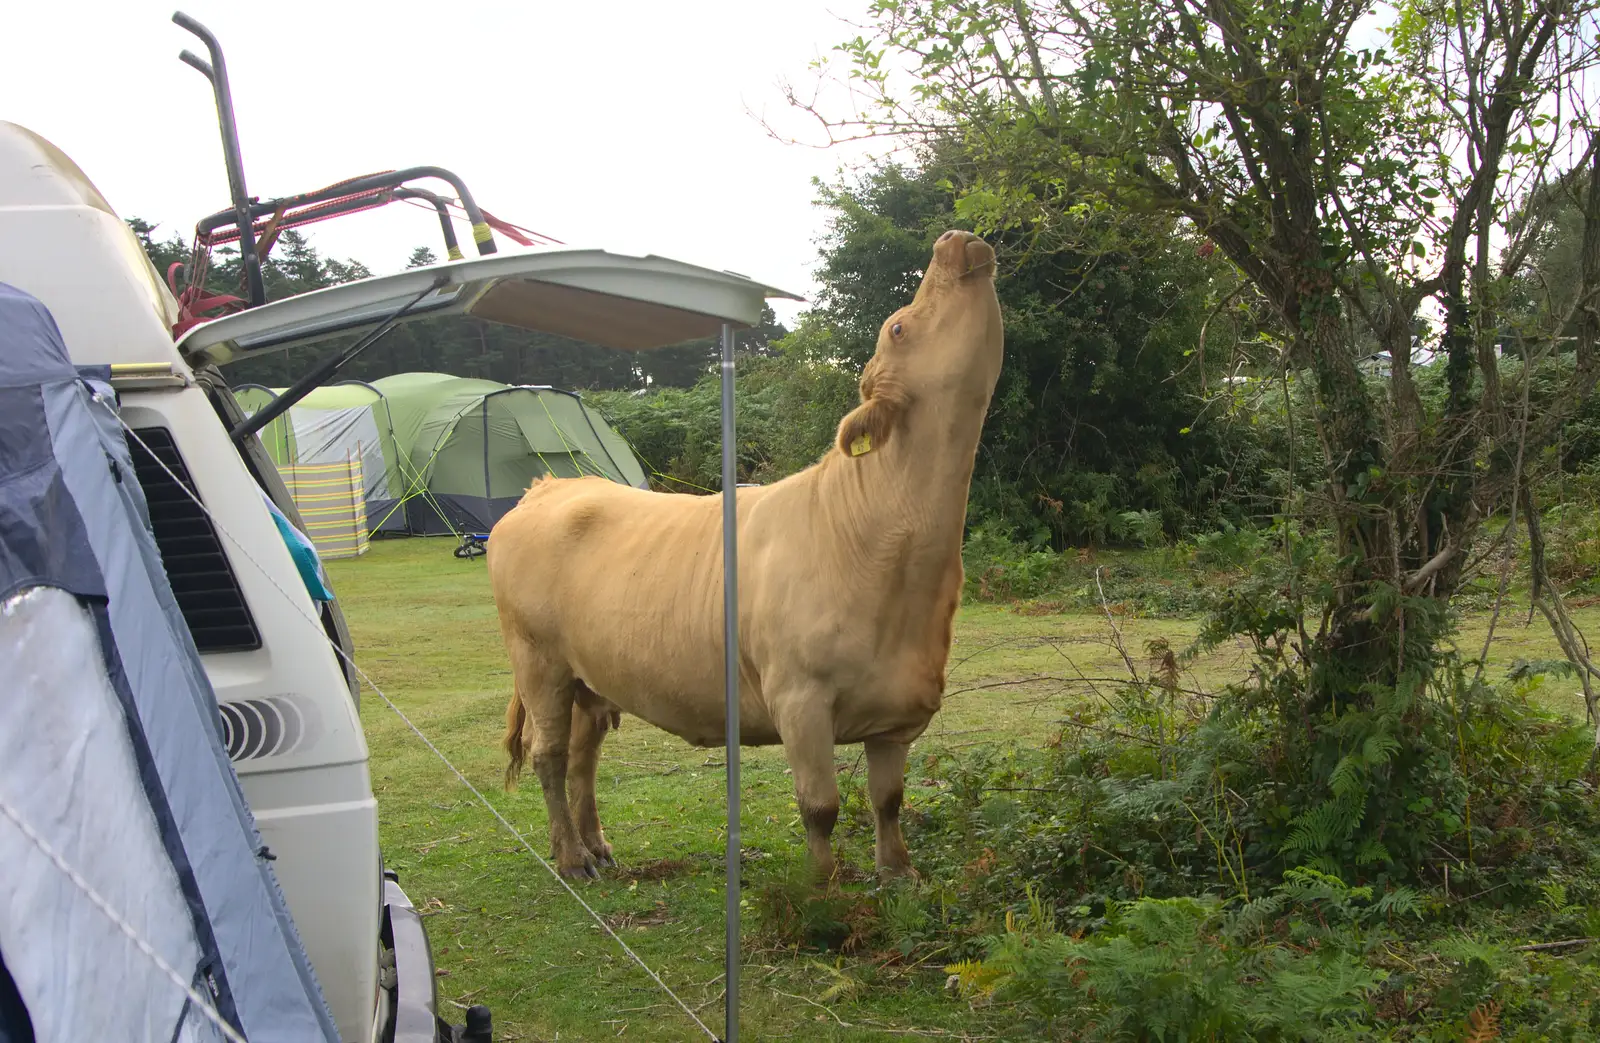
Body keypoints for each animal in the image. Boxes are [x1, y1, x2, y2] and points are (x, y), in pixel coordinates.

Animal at [492, 230, 1004, 883]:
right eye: (897, 325)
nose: (953, 239)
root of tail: (550, 485)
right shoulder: (799, 698)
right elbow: (821, 806)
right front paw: (824, 888)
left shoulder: (898, 709)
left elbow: (888, 800)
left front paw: (898, 875)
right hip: (538, 662)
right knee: (550, 755)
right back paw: (570, 857)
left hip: (589, 675)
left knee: (584, 755)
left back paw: (597, 847)